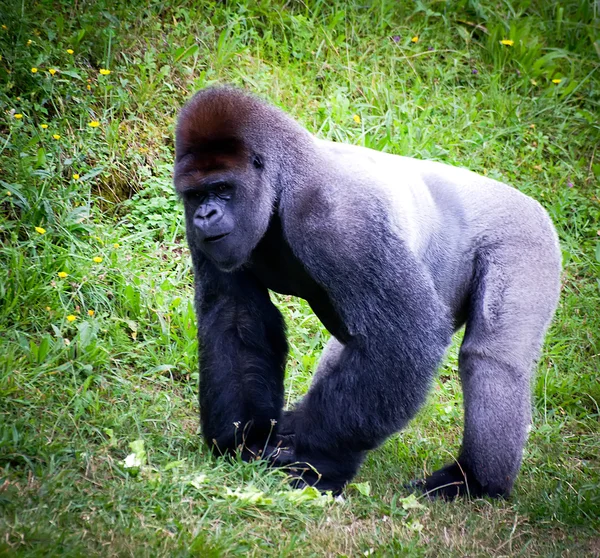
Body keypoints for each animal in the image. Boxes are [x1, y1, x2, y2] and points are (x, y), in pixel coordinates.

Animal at [173, 86, 564, 498]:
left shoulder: (336, 217)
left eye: (222, 189)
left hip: (525, 236)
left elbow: (402, 338)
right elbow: (235, 316)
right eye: (196, 195)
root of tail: (527, 199)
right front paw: (245, 438)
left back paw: (474, 480)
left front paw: (313, 457)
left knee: (490, 360)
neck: (285, 177)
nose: (205, 216)